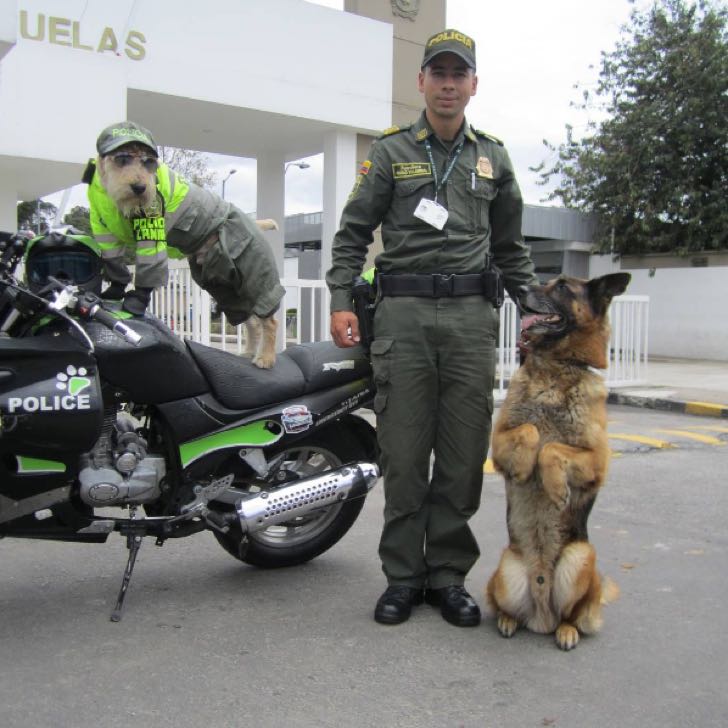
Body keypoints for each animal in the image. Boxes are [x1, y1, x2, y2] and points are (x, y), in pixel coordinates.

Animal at [484, 272, 632, 648]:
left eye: (563, 286)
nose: (520, 290)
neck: (556, 365)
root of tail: (542, 616)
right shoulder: (499, 440)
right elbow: (530, 433)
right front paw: (525, 468)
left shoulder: (597, 462)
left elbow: (552, 449)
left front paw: (554, 488)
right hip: (505, 570)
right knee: (505, 606)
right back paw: (508, 620)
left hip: (582, 558)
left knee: (574, 614)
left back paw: (566, 630)